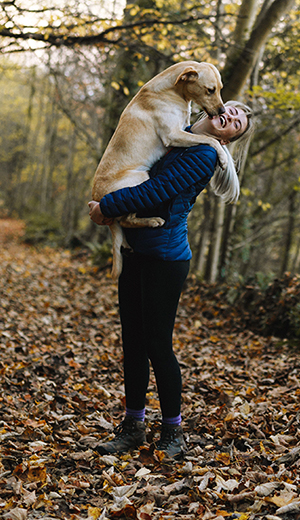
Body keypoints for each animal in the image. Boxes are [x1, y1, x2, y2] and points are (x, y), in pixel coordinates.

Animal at [91, 61, 227, 280]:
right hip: (139, 178)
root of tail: (97, 198)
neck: (172, 91)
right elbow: (209, 139)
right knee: (128, 220)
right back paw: (152, 221)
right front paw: (222, 157)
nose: (223, 111)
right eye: (210, 90)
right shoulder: (174, 135)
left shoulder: (184, 129)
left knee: (123, 225)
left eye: (220, 89)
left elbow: (205, 137)